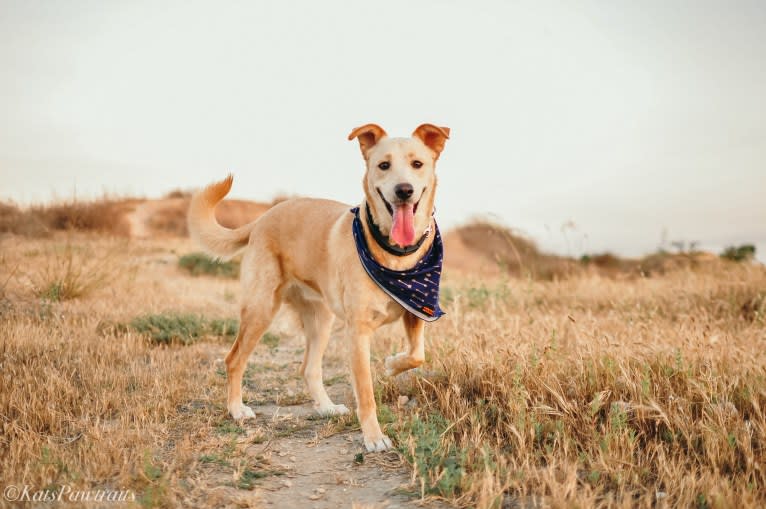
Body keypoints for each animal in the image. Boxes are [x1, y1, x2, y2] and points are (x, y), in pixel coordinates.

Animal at [188, 125, 450, 450]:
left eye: (417, 164)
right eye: (383, 165)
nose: (404, 190)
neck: (396, 256)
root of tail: (262, 218)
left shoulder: (416, 310)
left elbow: (417, 355)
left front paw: (391, 365)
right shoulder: (358, 332)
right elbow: (366, 393)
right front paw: (373, 437)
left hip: (321, 319)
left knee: (309, 368)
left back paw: (326, 407)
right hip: (261, 309)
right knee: (234, 359)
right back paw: (237, 409)